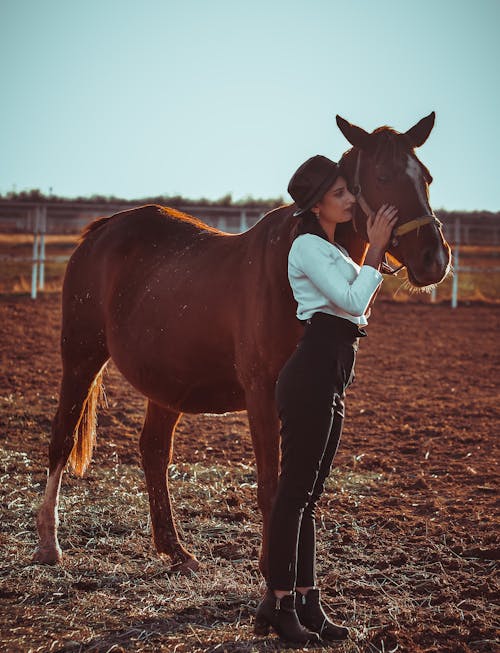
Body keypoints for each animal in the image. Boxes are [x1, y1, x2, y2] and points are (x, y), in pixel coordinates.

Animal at [33, 114, 452, 572]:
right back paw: (49, 544)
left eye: (427, 177)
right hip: (81, 356)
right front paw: (273, 569)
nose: (434, 258)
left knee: (154, 450)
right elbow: (271, 484)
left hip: (167, 381)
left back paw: (174, 549)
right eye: (381, 176)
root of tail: (102, 231)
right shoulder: (262, 395)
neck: (289, 268)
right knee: (62, 438)